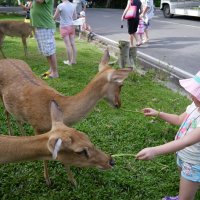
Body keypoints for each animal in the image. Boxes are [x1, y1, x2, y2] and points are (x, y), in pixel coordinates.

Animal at [0, 49, 133, 185]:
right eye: (121, 85)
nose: (119, 104)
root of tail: (4, 59)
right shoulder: (37, 126)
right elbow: (46, 157)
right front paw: (48, 180)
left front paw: (73, 181)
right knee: (6, 112)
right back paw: (10, 133)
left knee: (17, 117)